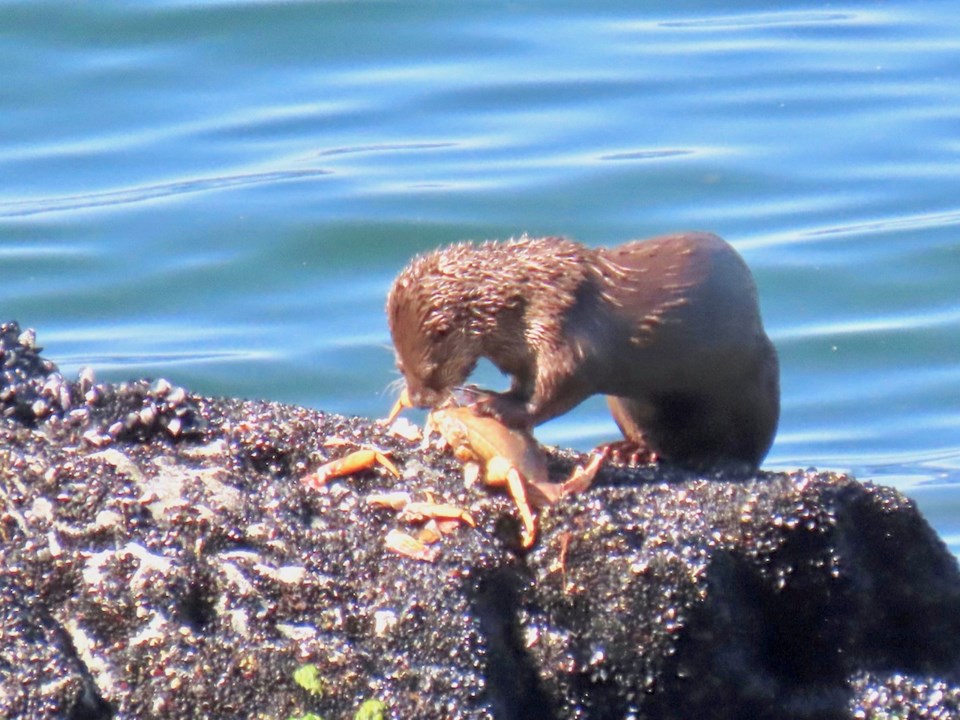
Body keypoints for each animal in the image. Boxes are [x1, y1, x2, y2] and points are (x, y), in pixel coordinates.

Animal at [384, 232, 780, 472]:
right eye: (401, 368)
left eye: (430, 370)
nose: (417, 399)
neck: (522, 300)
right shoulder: (522, 353)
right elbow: (524, 383)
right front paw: (491, 394)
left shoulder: (563, 329)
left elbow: (558, 388)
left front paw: (494, 406)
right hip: (623, 406)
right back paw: (629, 450)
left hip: (758, 384)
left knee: (750, 448)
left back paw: (721, 460)